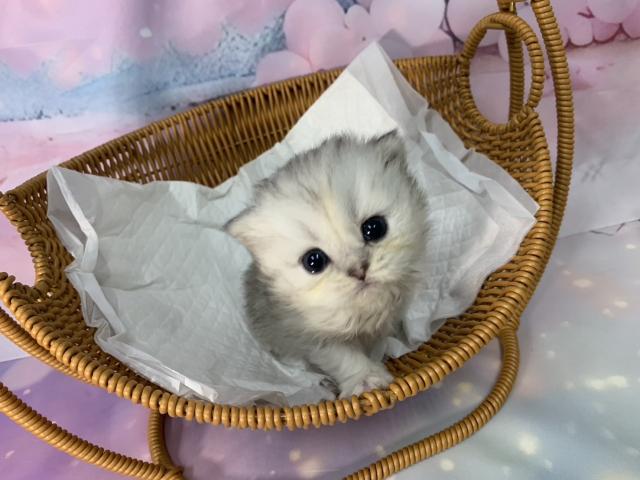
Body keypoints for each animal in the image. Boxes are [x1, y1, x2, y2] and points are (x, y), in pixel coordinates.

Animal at [226, 131, 427, 398]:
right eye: (314, 261)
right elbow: (344, 357)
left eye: (374, 228)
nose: (359, 270)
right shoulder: (309, 335)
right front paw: (367, 380)